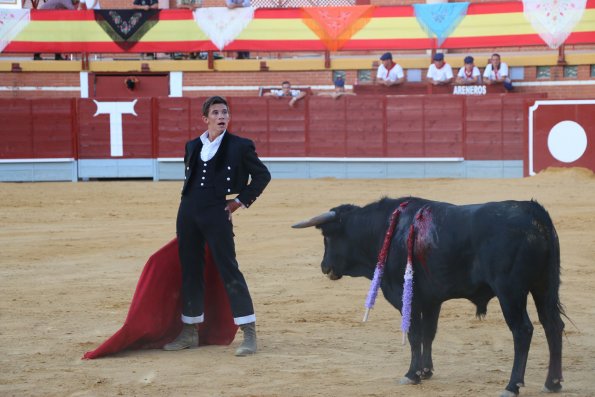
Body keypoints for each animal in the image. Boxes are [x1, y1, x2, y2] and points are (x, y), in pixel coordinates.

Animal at [294, 196, 568, 394]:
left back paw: (513, 386)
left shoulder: (408, 298)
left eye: (327, 236)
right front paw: (426, 371)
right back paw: (553, 383)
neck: (386, 230)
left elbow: (414, 335)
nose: (324, 267)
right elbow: (429, 333)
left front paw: (411, 374)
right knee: (553, 325)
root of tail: (534, 212)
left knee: (522, 331)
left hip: (510, 292)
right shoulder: (431, 300)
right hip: (544, 286)